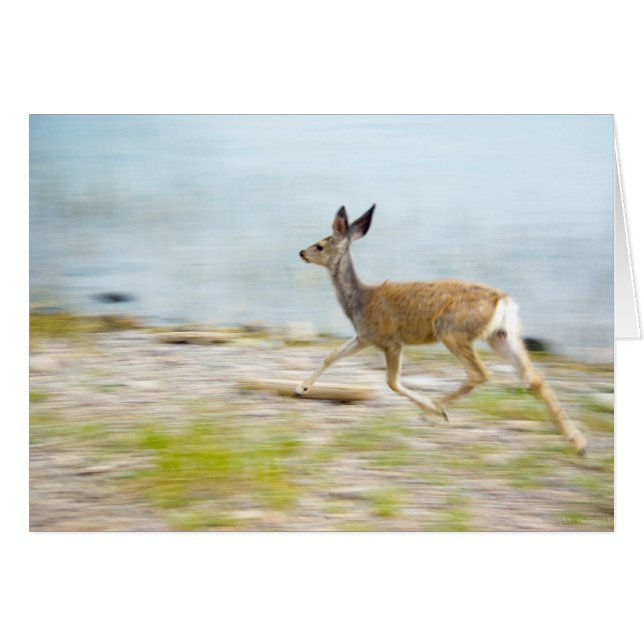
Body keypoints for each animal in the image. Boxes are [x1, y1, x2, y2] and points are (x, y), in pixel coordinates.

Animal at [296, 204, 587, 455]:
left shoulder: (389, 339)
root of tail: (503, 301)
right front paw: (301, 389)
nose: (302, 252)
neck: (360, 299)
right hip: (501, 336)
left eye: (320, 245)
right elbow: (332, 355)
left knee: (480, 373)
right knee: (534, 378)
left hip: (454, 332)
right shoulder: (365, 336)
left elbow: (392, 382)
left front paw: (434, 411)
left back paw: (435, 410)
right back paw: (578, 442)